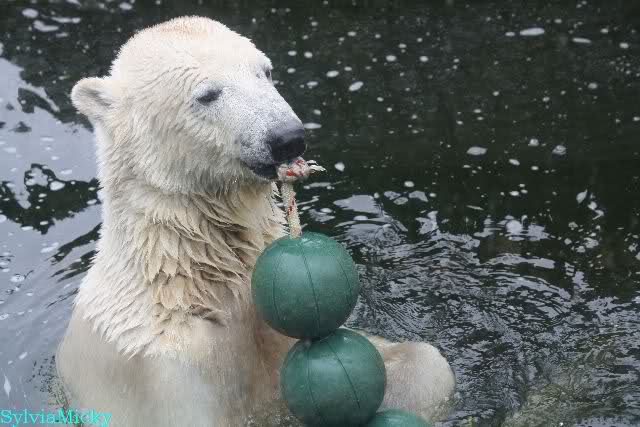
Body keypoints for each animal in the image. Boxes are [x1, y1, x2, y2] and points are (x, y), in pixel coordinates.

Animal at [56, 16, 455, 426]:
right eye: (207, 94)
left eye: (266, 71)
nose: (287, 137)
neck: (193, 276)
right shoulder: (167, 374)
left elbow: (425, 365)